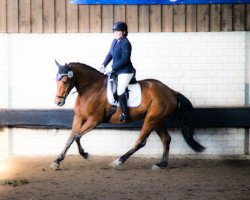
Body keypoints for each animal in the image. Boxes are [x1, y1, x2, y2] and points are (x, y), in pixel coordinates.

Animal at [49, 61, 205, 170]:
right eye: (56, 80)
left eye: (64, 81)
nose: (58, 102)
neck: (90, 88)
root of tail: (171, 92)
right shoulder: (79, 118)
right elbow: (70, 138)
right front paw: (57, 161)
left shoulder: (94, 120)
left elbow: (77, 136)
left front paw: (85, 154)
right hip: (157, 121)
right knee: (166, 139)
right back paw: (161, 164)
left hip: (151, 120)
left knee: (140, 142)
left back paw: (118, 161)